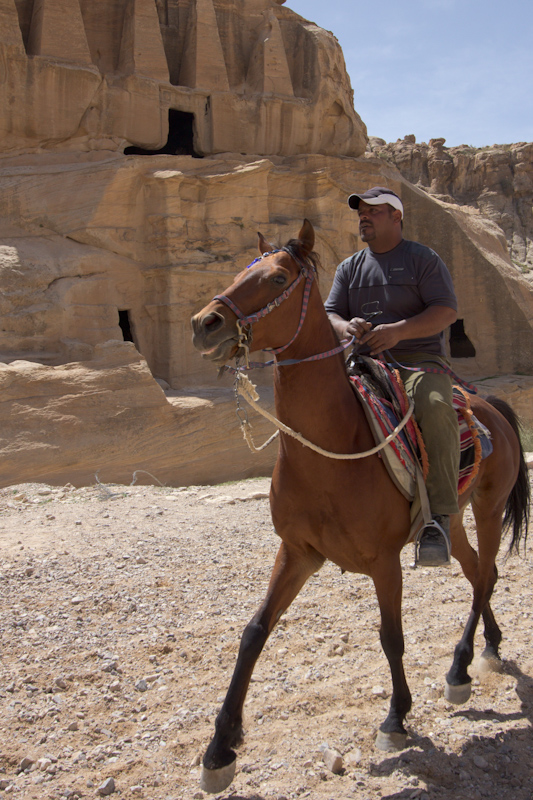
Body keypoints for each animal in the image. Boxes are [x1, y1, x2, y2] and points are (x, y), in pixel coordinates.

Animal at [190, 219, 528, 792]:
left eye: (276, 277)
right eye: (238, 270)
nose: (203, 324)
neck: (332, 449)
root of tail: (491, 409)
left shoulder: (384, 561)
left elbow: (391, 637)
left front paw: (396, 718)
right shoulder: (298, 552)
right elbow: (253, 633)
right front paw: (219, 750)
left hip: (487, 507)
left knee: (484, 576)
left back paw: (458, 668)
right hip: (453, 521)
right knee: (480, 573)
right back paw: (487, 648)